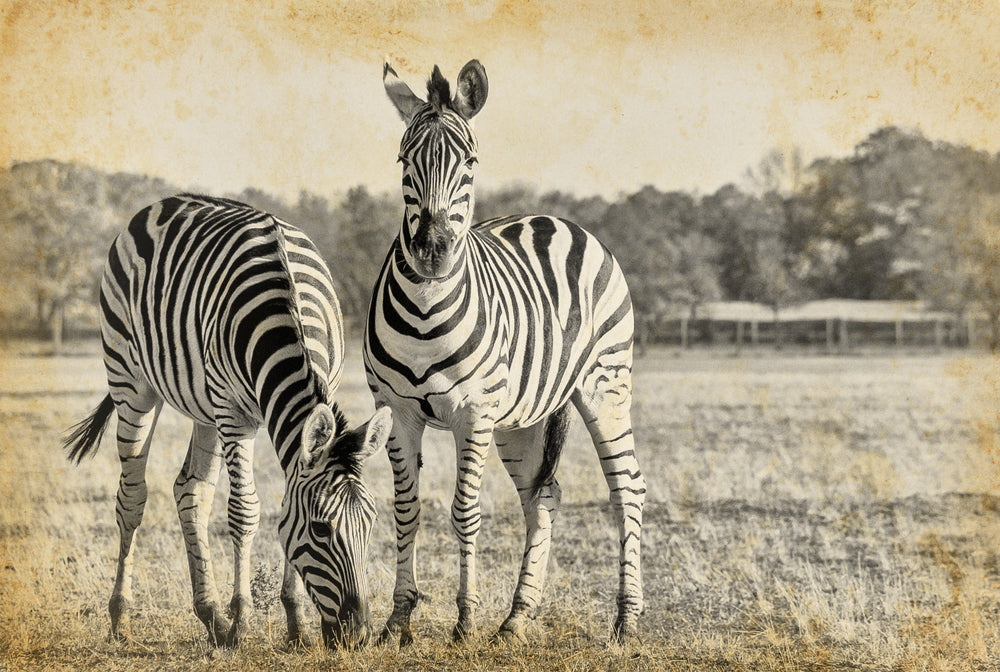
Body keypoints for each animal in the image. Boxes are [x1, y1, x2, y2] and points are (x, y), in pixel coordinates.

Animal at [63, 194, 391, 648]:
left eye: (371, 523)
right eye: (321, 530)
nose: (357, 635)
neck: (288, 314)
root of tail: (162, 203)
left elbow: (282, 500)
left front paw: (295, 624)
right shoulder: (235, 416)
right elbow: (244, 510)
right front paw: (242, 621)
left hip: (205, 407)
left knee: (191, 490)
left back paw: (210, 615)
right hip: (132, 382)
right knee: (131, 498)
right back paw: (122, 617)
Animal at [364, 61, 646, 645]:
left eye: (470, 161)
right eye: (403, 160)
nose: (431, 250)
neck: (426, 308)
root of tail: (553, 218)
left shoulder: (474, 412)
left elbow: (464, 511)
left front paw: (465, 620)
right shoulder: (396, 409)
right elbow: (406, 510)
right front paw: (397, 621)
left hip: (605, 384)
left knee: (627, 489)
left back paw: (627, 619)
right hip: (523, 418)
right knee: (543, 497)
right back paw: (516, 618)